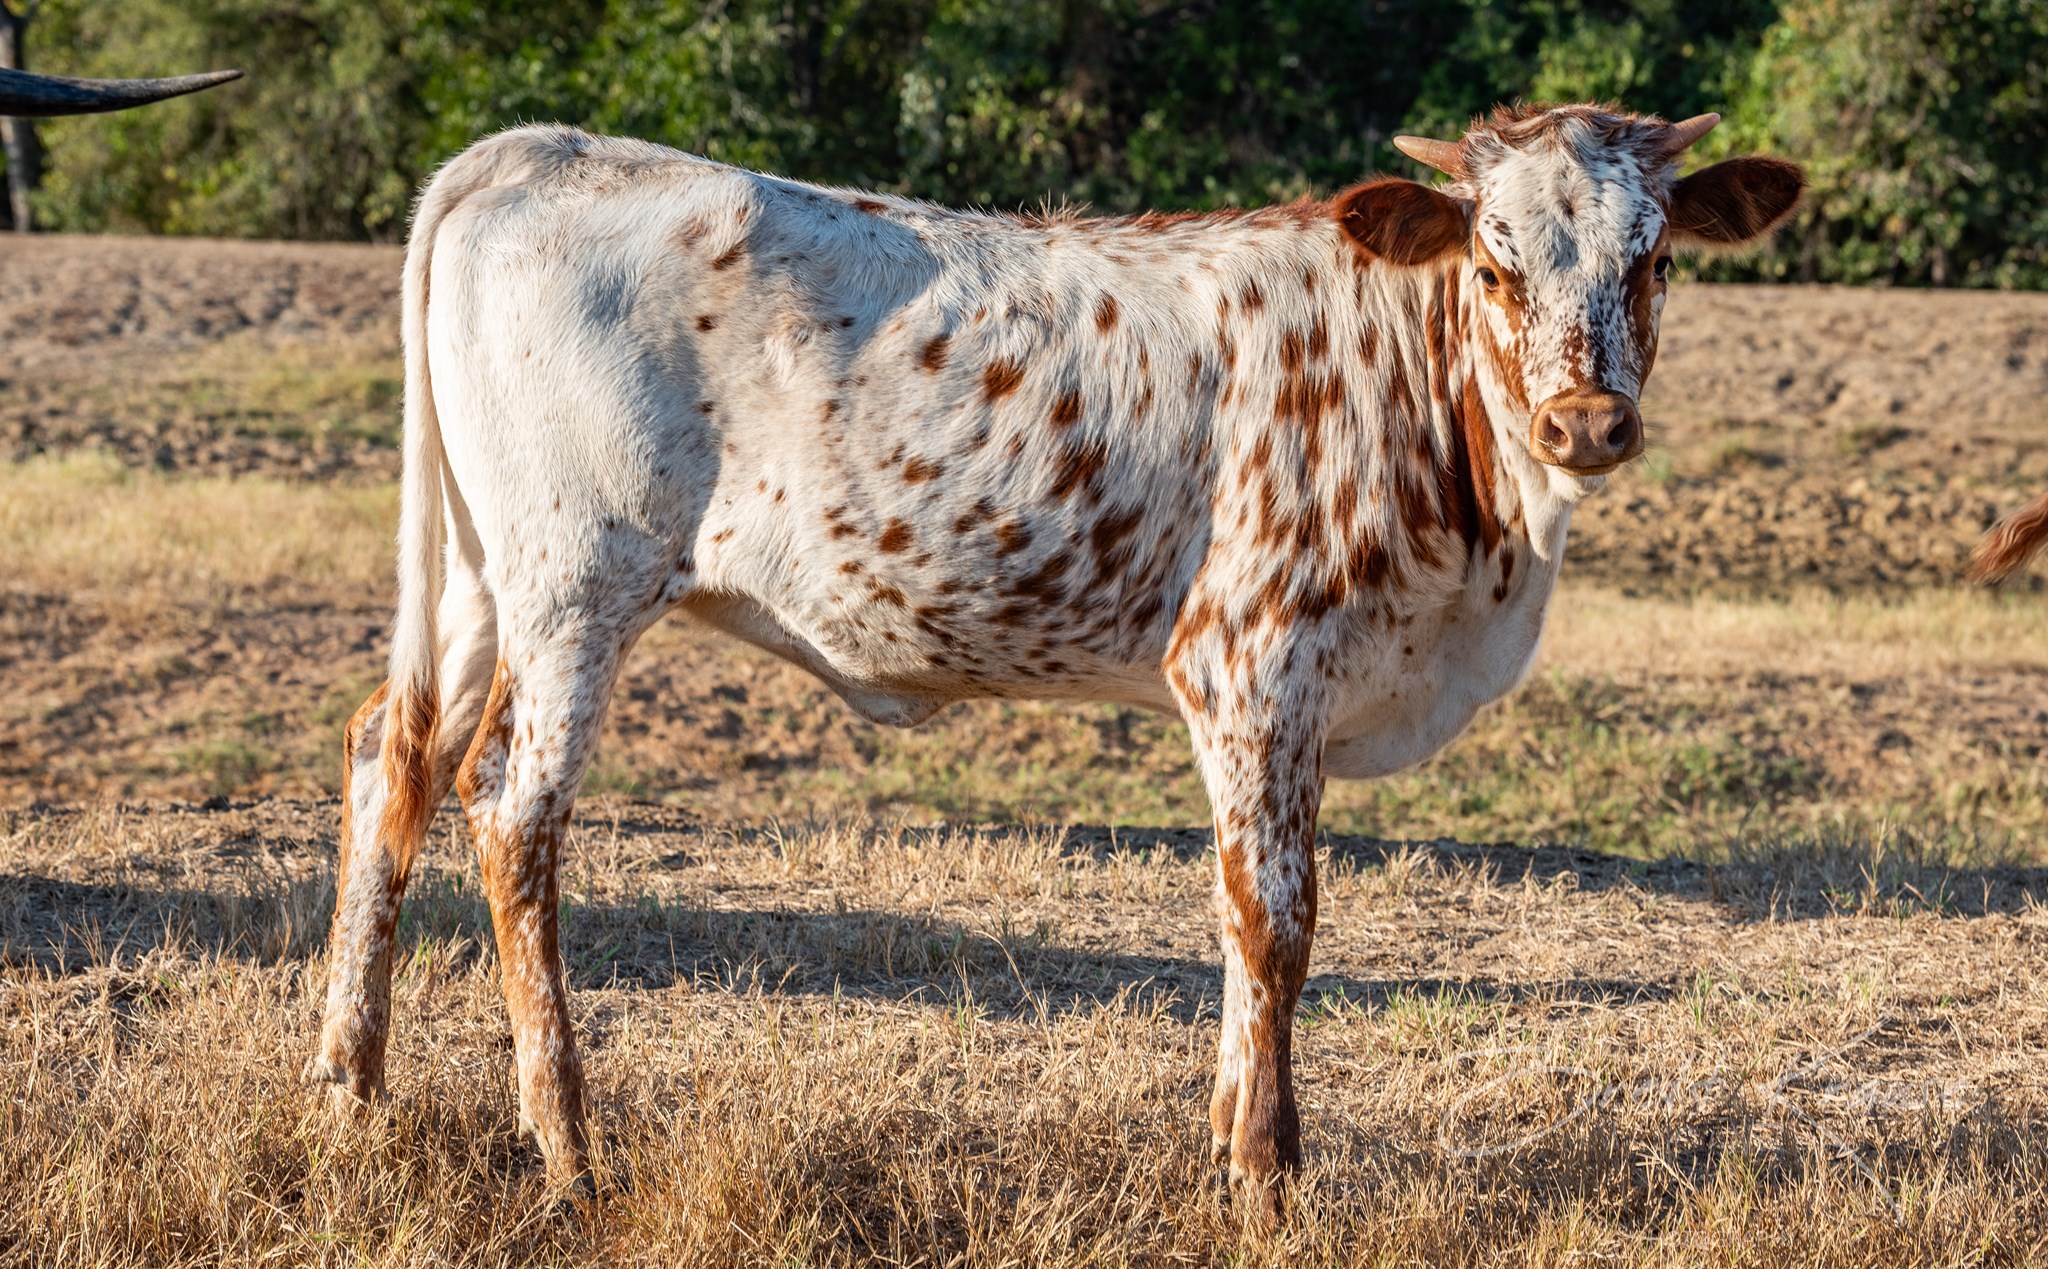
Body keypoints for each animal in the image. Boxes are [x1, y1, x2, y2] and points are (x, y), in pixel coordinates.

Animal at [302, 103, 1803, 1219]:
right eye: (1493, 264)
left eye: (1654, 261)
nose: (1586, 422)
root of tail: (537, 150)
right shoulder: (1251, 667)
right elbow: (1275, 920)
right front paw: (1266, 1177)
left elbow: (1235, 925)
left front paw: (1229, 1139)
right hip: (576, 581)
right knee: (514, 814)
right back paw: (567, 1150)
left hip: (479, 578)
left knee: (393, 755)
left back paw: (348, 1087)